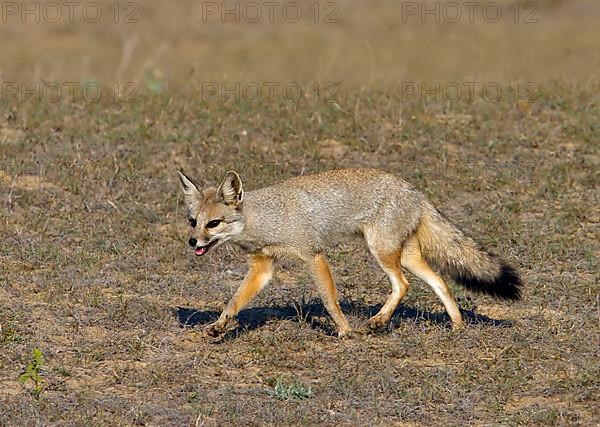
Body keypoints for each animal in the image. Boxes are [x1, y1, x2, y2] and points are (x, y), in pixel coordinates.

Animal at [177, 167, 520, 338]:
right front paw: (220, 326)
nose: (193, 242)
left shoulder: (313, 255)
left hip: (382, 251)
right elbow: (234, 301)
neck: (266, 218)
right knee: (440, 283)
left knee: (403, 284)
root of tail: (414, 190)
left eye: (214, 223)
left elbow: (330, 299)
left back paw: (378, 322)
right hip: (405, 255)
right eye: (193, 222)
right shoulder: (263, 267)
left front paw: (344, 332)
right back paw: (457, 325)